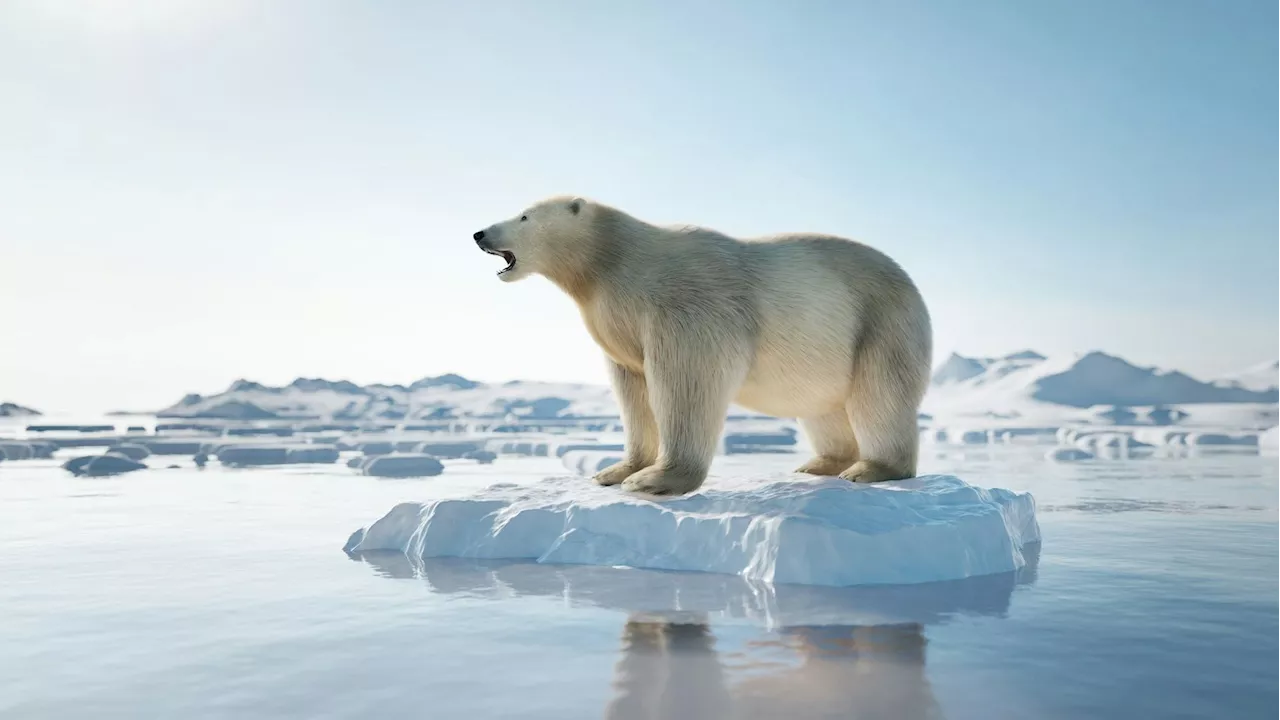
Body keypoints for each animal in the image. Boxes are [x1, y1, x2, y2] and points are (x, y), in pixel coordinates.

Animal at [471, 194, 931, 491]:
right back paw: (819, 464)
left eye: (524, 216)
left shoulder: (686, 303)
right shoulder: (617, 323)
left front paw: (655, 479)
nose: (479, 233)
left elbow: (687, 378)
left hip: (881, 323)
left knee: (879, 396)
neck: (612, 261)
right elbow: (632, 389)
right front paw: (615, 470)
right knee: (823, 407)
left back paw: (870, 469)